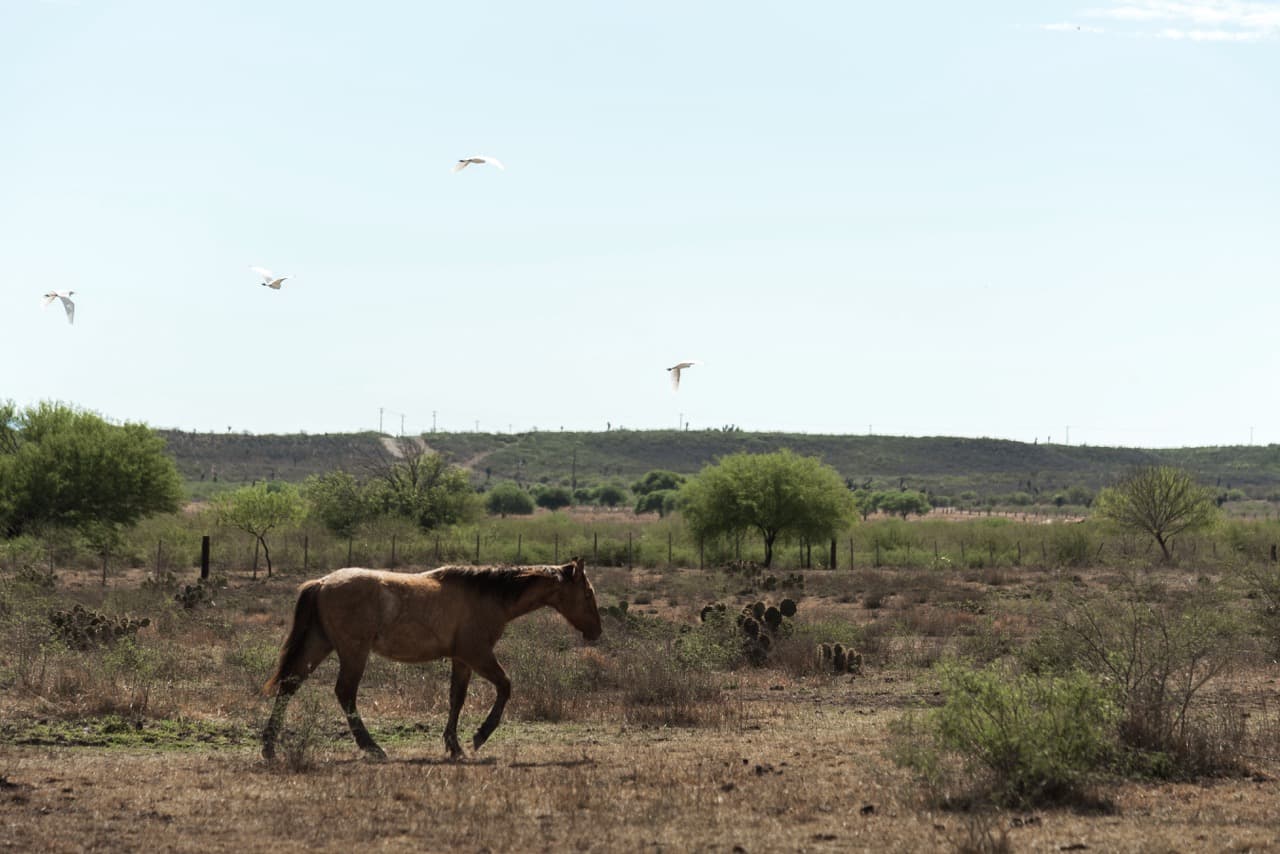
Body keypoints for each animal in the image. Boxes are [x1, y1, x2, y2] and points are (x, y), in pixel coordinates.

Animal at [260, 557, 601, 761]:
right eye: (587, 594)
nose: (597, 631)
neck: (489, 595)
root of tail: (322, 583)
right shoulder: (478, 654)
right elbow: (505, 686)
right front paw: (480, 736)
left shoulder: (462, 660)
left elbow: (456, 699)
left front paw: (454, 745)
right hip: (353, 653)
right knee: (344, 693)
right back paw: (372, 747)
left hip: (319, 645)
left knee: (289, 686)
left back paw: (269, 747)